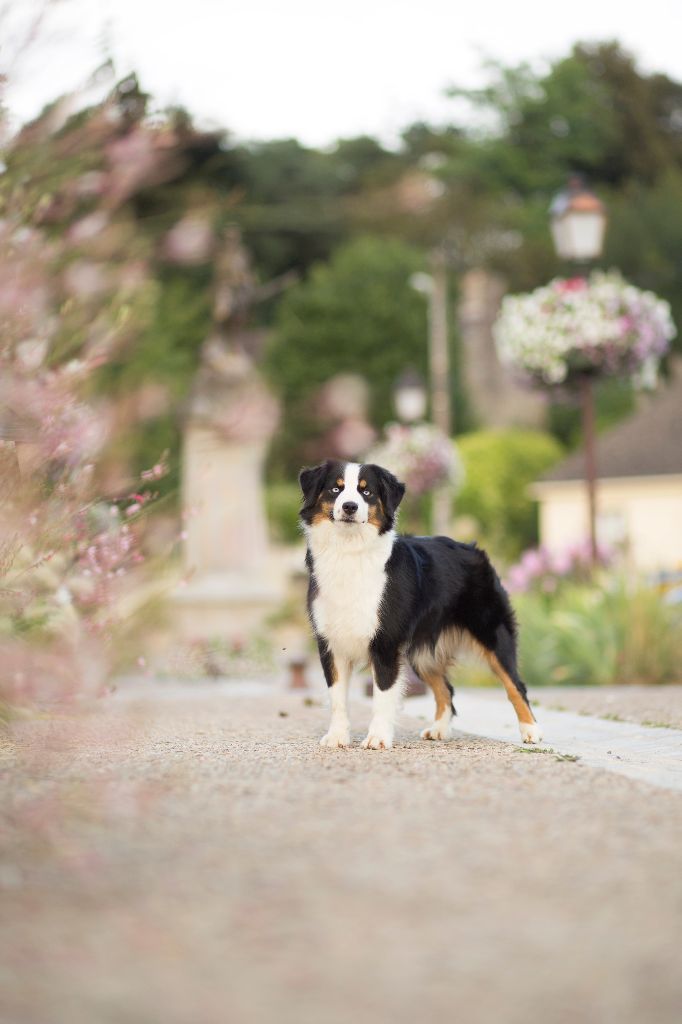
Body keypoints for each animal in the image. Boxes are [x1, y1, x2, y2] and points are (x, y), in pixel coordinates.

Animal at [301, 460, 540, 749]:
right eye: (335, 489)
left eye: (366, 492)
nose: (349, 507)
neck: (349, 551)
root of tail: (473, 548)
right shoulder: (331, 642)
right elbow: (337, 697)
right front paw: (337, 736)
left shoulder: (385, 643)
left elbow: (382, 696)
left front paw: (377, 738)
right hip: (422, 651)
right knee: (446, 688)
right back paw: (439, 729)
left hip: (492, 634)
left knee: (516, 685)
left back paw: (531, 731)